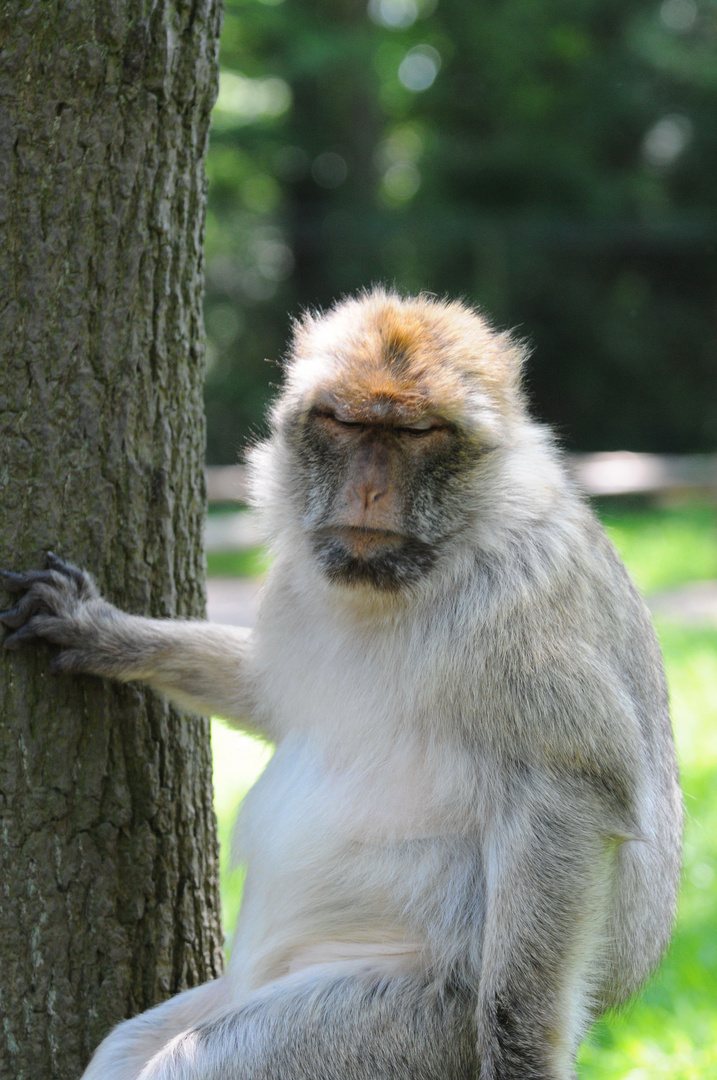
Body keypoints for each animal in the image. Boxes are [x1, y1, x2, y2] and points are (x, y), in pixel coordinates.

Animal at [1, 289, 682, 1080]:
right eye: (347, 423)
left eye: (416, 432)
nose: (369, 487)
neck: (412, 577)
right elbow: (266, 694)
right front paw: (102, 632)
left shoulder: (515, 617)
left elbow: (573, 793)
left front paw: (518, 1056)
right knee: (128, 1049)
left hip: (410, 1026)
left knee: (196, 1062)